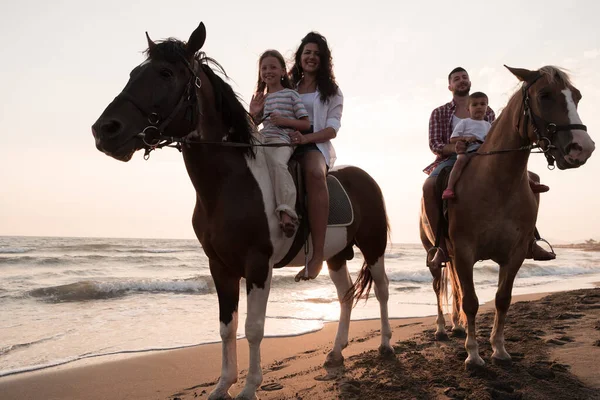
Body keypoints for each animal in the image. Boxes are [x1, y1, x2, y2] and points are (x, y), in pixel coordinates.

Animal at [90, 22, 394, 400]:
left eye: (165, 73)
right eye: (134, 73)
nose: (105, 130)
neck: (229, 182)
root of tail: (365, 179)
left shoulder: (257, 264)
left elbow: (253, 327)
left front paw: (250, 386)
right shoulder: (220, 266)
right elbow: (227, 326)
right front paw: (223, 384)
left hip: (374, 246)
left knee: (382, 289)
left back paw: (386, 345)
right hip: (335, 255)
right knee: (345, 296)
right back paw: (336, 352)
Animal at [422, 66, 596, 368]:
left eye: (577, 96)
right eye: (544, 95)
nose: (582, 148)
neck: (497, 183)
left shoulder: (514, 254)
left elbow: (502, 299)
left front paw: (499, 350)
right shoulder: (465, 251)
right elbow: (471, 301)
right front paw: (473, 355)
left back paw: (456, 326)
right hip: (436, 252)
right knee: (437, 285)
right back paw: (443, 329)